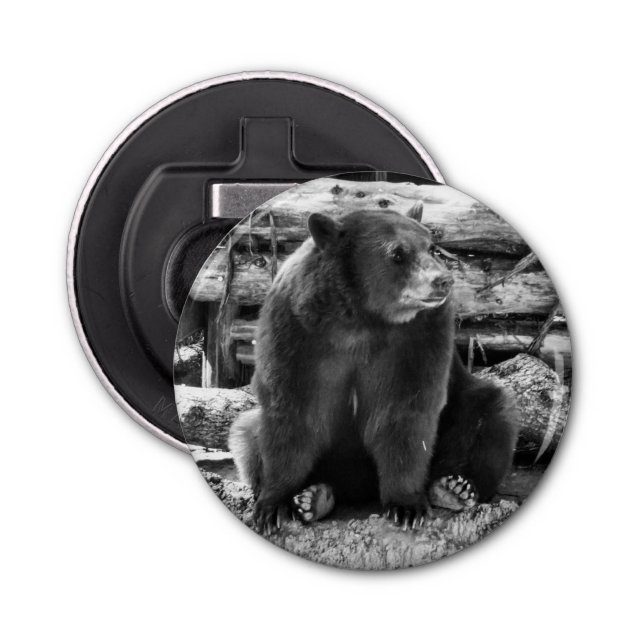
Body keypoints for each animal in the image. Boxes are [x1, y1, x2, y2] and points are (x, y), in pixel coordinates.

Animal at [228, 203, 518, 535]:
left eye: (431, 247)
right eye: (397, 254)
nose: (443, 281)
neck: (360, 318)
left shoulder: (417, 338)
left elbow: (405, 412)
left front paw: (406, 507)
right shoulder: (297, 331)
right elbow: (291, 410)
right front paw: (272, 507)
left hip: (464, 402)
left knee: (490, 410)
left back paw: (455, 488)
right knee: (245, 431)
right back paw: (314, 498)